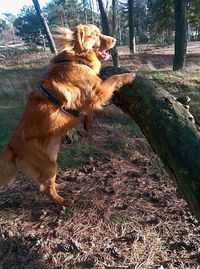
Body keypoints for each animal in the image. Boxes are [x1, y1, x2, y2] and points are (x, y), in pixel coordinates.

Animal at [0, 24, 134, 205]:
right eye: (96, 35)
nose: (114, 39)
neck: (77, 58)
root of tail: (11, 144)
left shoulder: (88, 100)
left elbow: (89, 109)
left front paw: (88, 123)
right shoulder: (97, 92)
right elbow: (113, 79)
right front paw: (128, 75)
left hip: (51, 158)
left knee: (45, 183)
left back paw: (60, 185)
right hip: (49, 165)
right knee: (46, 188)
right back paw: (61, 201)